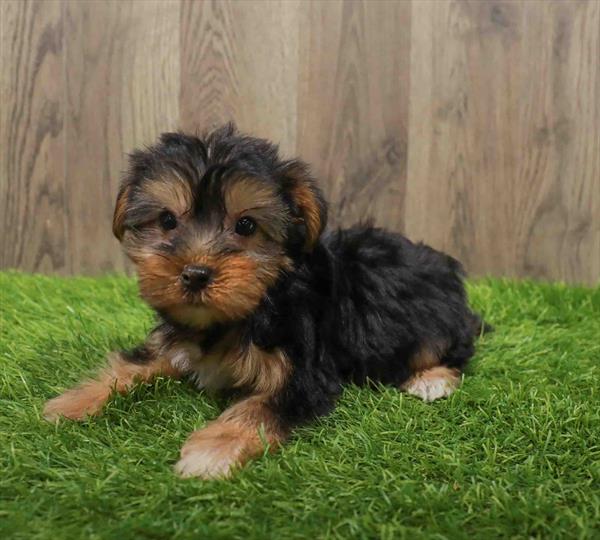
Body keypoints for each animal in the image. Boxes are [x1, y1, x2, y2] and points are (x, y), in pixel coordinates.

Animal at [45, 124, 488, 478]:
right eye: (167, 220)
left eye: (246, 225)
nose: (195, 274)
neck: (248, 307)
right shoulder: (170, 342)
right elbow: (130, 364)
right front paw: (71, 403)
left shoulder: (304, 372)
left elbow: (258, 407)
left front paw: (212, 450)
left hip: (434, 321)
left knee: (452, 349)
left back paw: (431, 379)